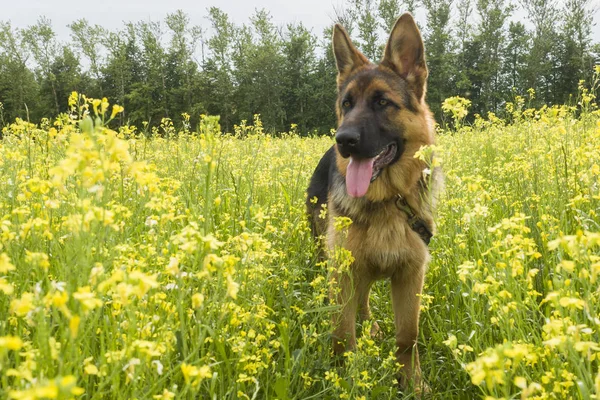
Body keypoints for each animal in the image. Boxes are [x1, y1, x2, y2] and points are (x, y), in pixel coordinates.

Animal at [308, 14, 438, 390]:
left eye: (382, 102)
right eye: (347, 104)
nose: (343, 141)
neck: (387, 201)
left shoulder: (410, 275)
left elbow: (408, 337)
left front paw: (412, 384)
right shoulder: (344, 271)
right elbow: (342, 333)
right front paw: (346, 380)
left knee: (364, 301)